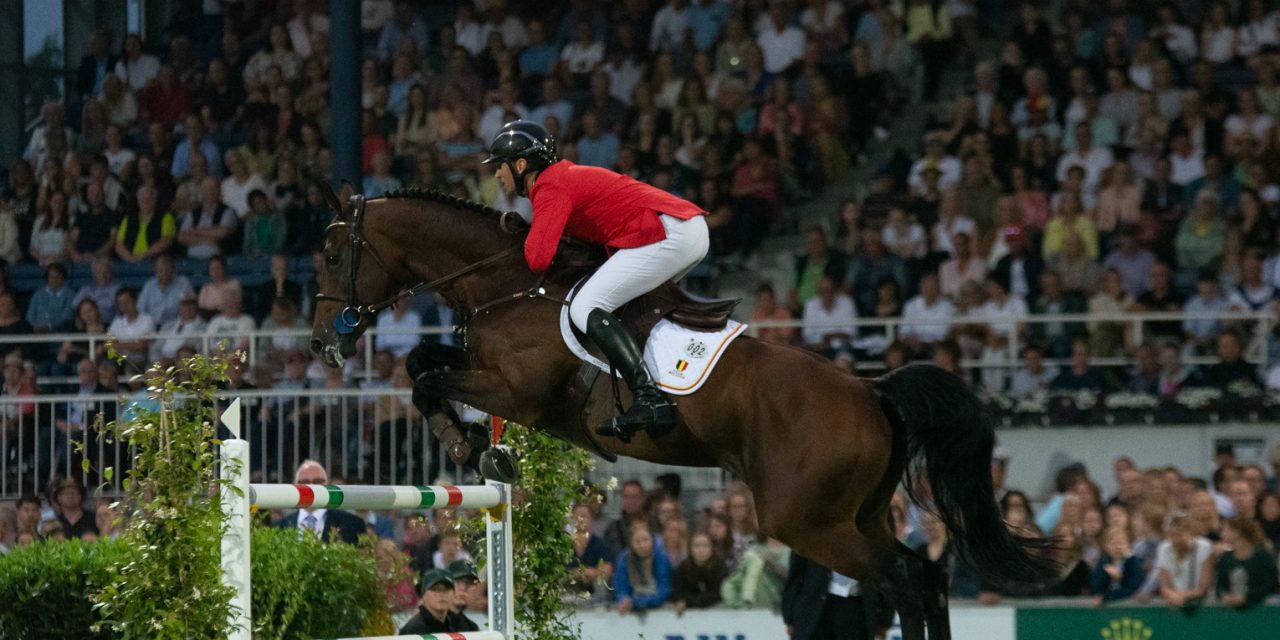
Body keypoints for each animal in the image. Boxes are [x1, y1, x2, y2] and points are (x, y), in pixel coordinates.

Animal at [307, 183, 1049, 637]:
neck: (510, 282)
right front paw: (476, 446)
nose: (320, 342)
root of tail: (874, 393)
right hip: (857, 511)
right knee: (921, 577)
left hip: (804, 518)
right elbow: (423, 364)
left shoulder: (516, 392)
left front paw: (471, 446)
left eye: (333, 252)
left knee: (903, 576)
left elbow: (428, 378)